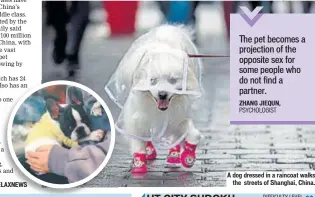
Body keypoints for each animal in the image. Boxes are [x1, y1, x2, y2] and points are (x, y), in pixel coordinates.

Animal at [108, 24, 202, 172]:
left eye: (172, 80)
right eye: (152, 80)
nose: (162, 94)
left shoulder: (179, 115)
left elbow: (190, 133)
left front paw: (188, 155)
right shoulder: (138, 115)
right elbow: (138, 138)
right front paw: (139, 164)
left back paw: (173, 155)